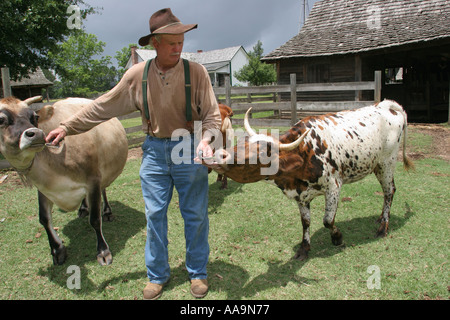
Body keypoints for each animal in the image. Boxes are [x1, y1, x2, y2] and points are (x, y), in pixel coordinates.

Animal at [0, 96, 127, 266]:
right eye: (1, 119)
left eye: (35, 117)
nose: (36, 134)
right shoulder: (43, 188)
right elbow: (44, 218)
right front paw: (57, 250)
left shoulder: (93, 180)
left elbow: (95, 219)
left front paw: (103, 251)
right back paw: (83, 208)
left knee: (104, 189)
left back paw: (107, 212)